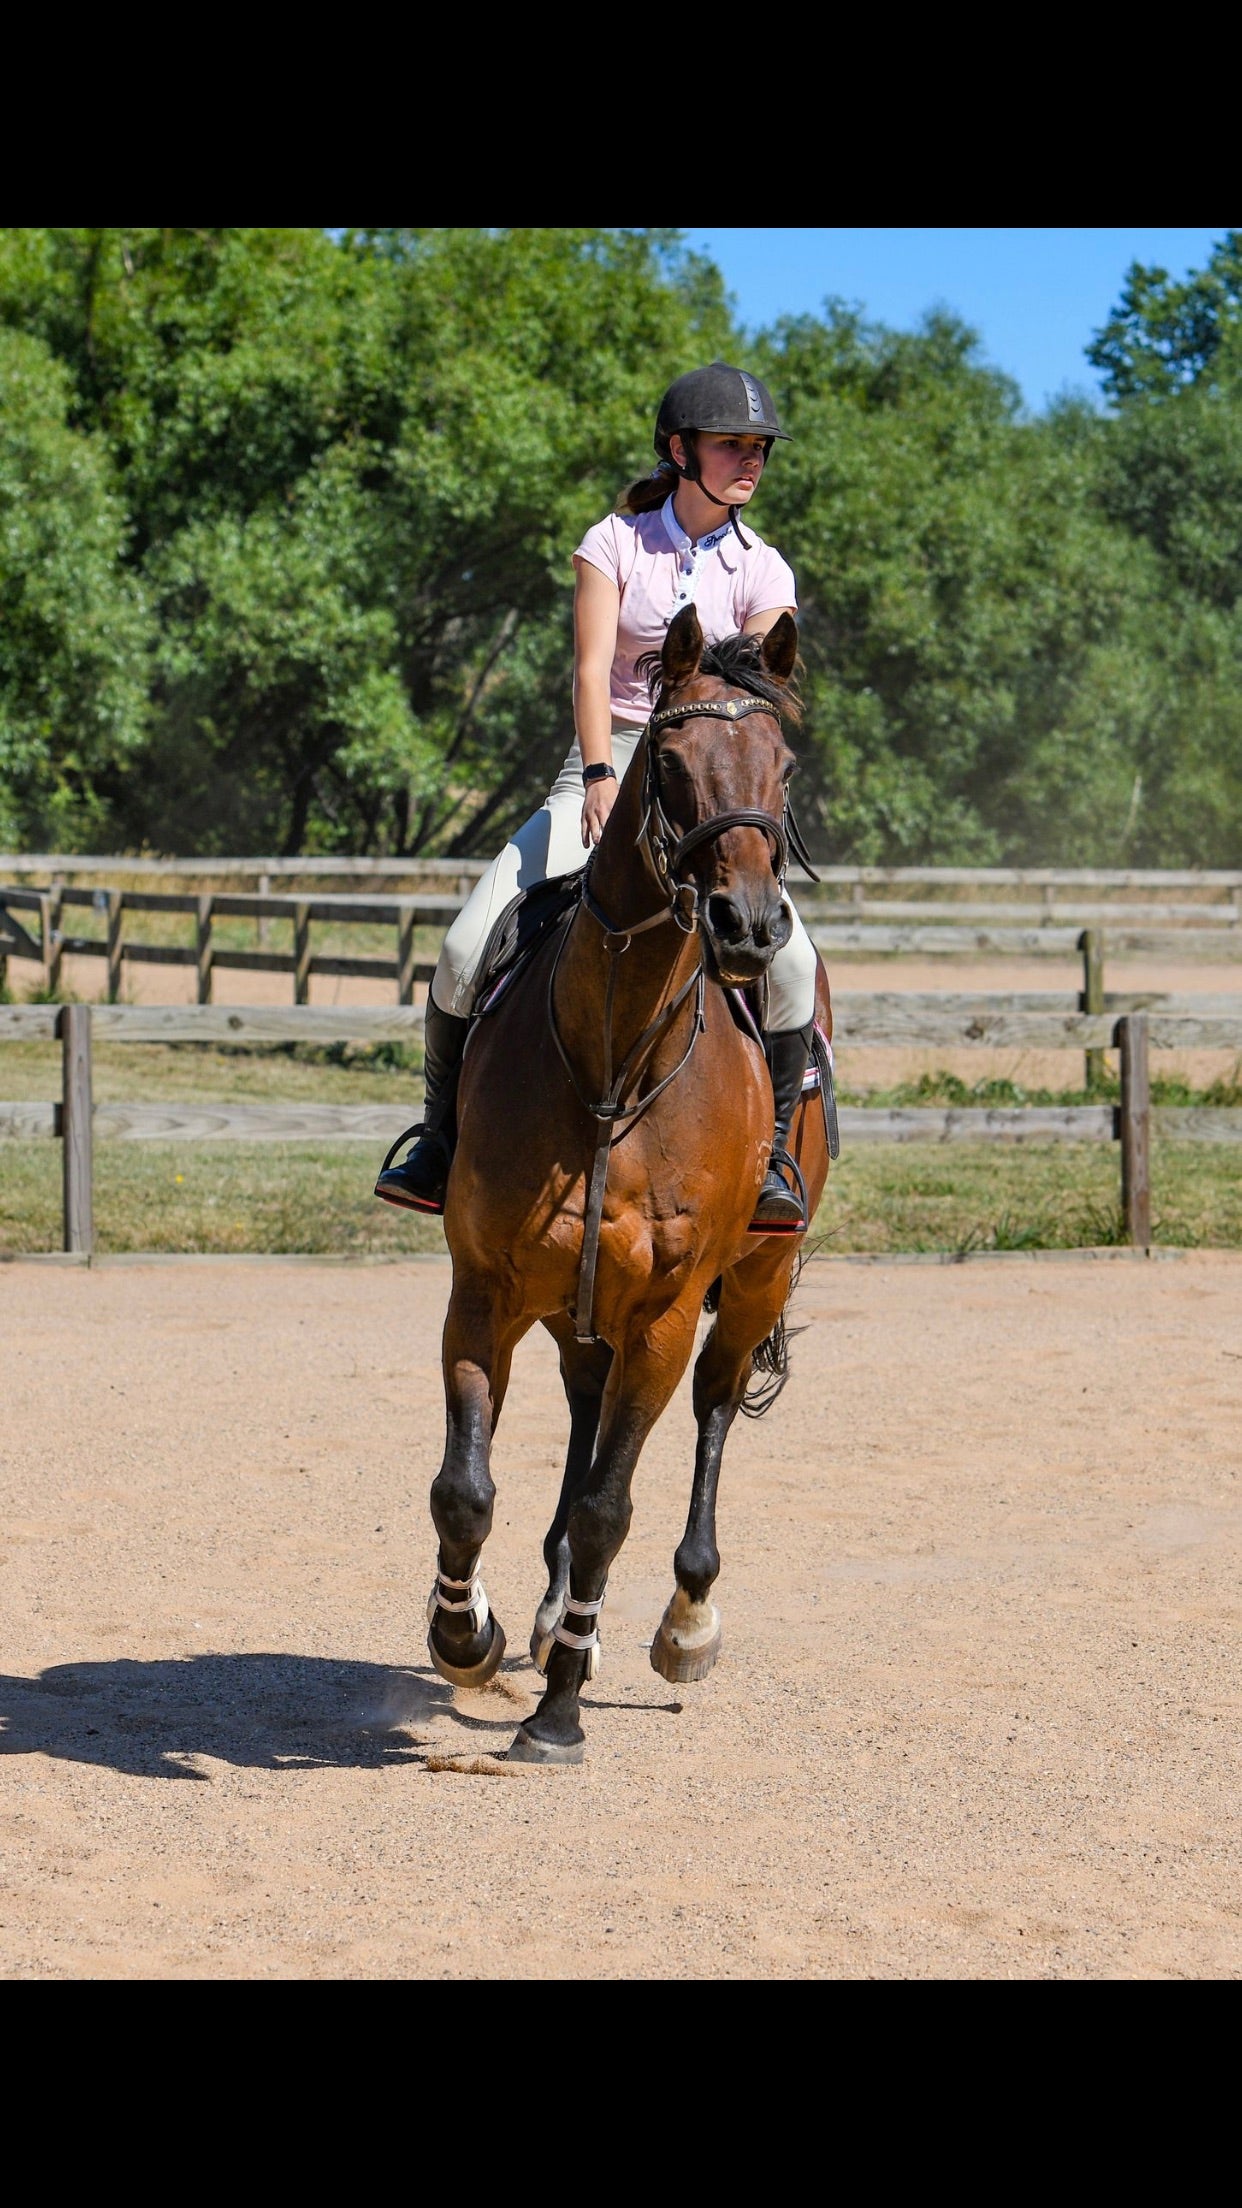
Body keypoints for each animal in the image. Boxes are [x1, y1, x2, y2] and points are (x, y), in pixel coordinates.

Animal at [417, 600, 830, 1757]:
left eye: (784, 764)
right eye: (674, 763)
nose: (749, 925)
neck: (615, 1057)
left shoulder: (664, 1313)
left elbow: (613, 1506)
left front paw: (558, 1711)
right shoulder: (486, 1289)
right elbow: (464, 1490)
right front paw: (466, 1634)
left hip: (751, 1288)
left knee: (714, 1412)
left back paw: (683, 1621)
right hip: (573, 1307)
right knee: (583, 1409)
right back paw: (554, 1609)